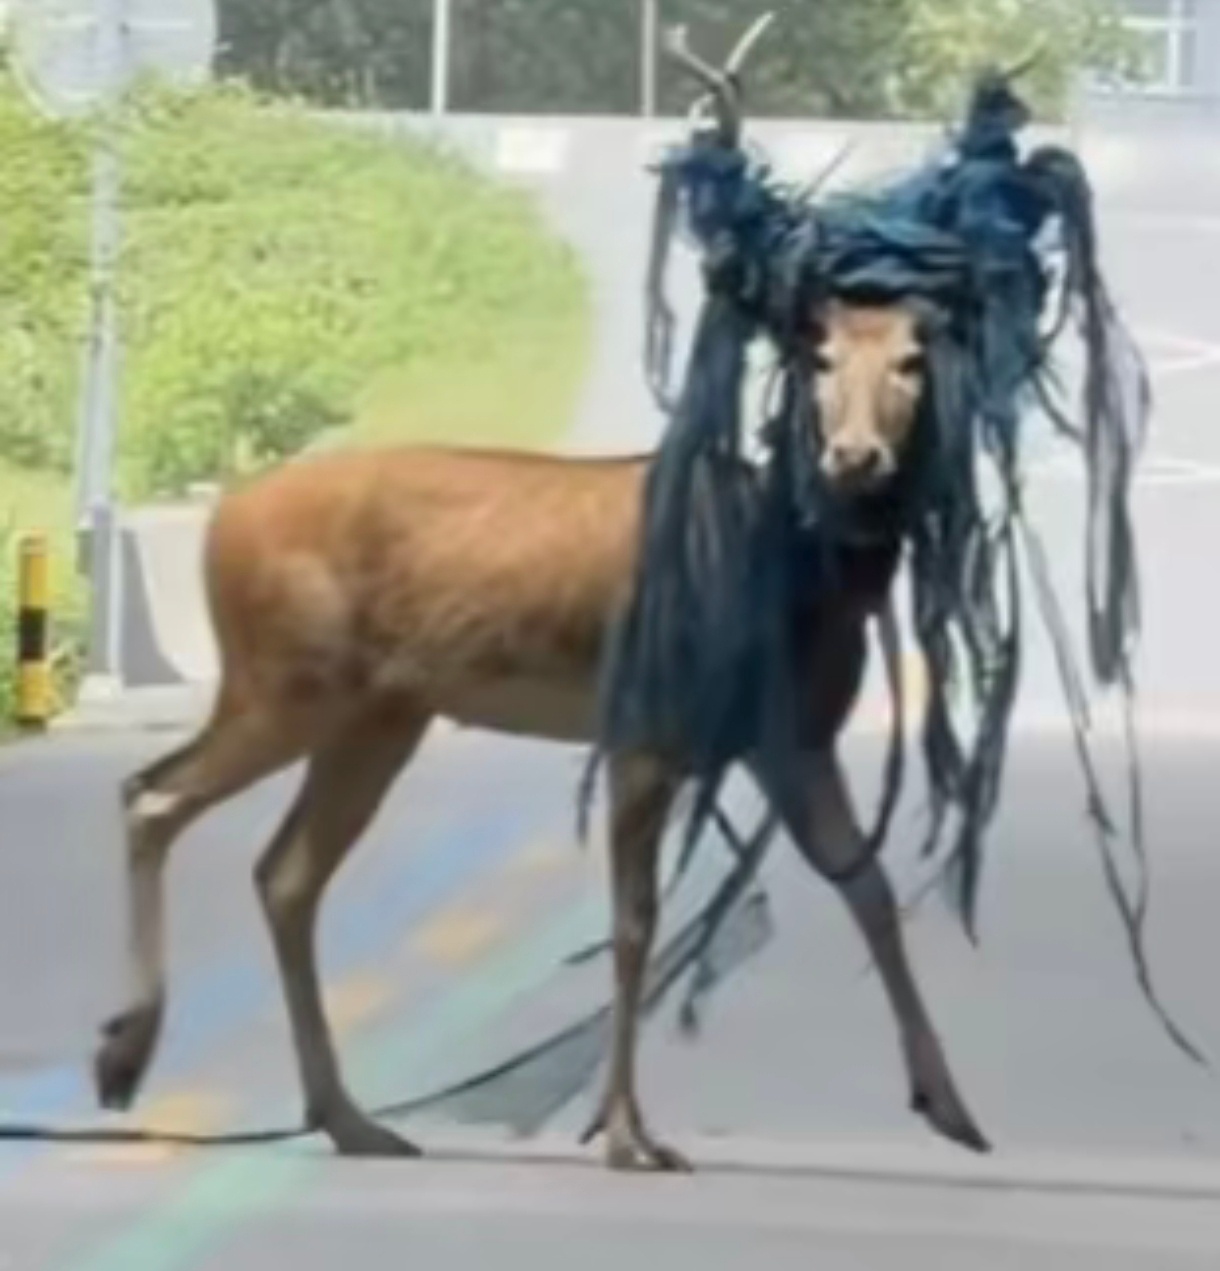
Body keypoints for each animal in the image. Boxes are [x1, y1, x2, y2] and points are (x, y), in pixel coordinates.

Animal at [92, 21, 991, 1172]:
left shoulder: (788, 736)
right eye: (819, 354)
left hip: (379, 712)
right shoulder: (651, 724)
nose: (853, 455)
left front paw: (952, 1105)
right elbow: (634, 922)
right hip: (284, 675)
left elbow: (867, 885)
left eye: (914, 360)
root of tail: (220, 523)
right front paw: (626, 1132)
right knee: (154, 793)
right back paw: (126, 1054)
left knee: (284, 870)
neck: (785, 572)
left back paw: (348, 1116)